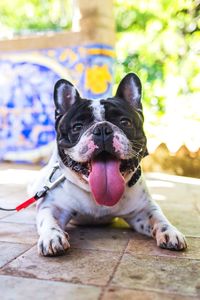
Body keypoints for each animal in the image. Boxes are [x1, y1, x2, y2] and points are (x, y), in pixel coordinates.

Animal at [32, 72, 187, 255]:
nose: (102, 129)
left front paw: (170, 231)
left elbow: (158, 217)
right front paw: (52, 236)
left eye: (125, 122)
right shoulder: (53, 207)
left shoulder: (143, 210)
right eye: (77, 127)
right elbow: (48, 220)